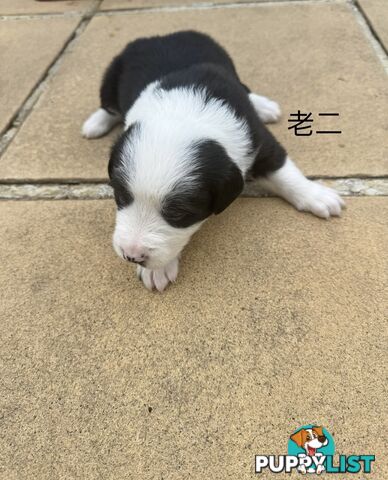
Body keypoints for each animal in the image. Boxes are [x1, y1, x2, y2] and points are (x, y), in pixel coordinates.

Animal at [83, 31, 344, 292]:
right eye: (120, 196)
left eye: (180, 213)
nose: (132, 255)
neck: (186, 114)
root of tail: (163, 35)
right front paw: (157, 269)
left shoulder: (257, 138)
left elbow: (283, 170)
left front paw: (315, 195)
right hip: (110, 79)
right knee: (108, 106)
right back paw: (94, 124)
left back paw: (263, 106)